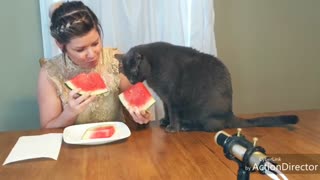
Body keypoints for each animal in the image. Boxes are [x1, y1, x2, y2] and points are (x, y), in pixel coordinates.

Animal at [114, 41, 298, 132]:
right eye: (124, 72)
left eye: (134, 70)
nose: (132, 81)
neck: (153, 69)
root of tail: (230, 113)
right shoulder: (164, 98)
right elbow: (166, 110)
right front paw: (165, 121)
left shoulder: (172, 97)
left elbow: (173, 112)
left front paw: (172, 127)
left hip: (204, 112)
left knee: (211, 127)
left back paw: (186, 126)